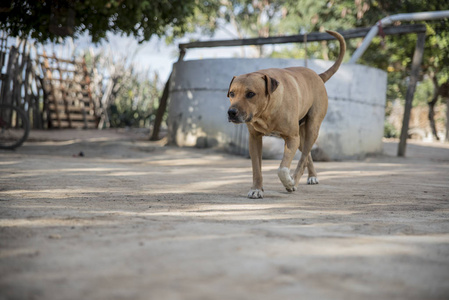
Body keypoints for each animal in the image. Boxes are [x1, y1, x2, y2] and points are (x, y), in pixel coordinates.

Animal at [226, 29, 344, 199]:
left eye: (250, 94)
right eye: (231, 93)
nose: (231, 112)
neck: (266, 112)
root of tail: (318, 76)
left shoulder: (291, 138)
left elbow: (282, 169)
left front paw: (288, 181)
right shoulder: (254, 139)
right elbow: (256, 169)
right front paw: (256, 188)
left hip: (312, 128)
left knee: (303, 158)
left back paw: (294, 180)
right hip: (301, 135)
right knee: (307, 154)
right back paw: (312, 176)